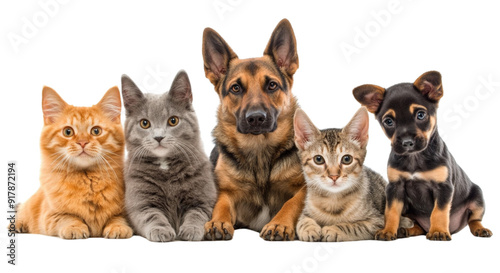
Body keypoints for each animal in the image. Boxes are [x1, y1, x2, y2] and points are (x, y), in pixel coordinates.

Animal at [14, 85, 133, 238]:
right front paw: (74, 227)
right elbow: (68, 217)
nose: (82, 142)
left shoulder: (125, 212)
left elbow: (117, 218)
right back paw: (17, 225)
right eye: (68, 132)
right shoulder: (51, 215)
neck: (87, 180)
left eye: (96, 131)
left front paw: (118, 227)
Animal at [122, 71, 217, 241]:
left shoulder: (204, 199)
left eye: (173, 121)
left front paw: (191, 229)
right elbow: (151, 215)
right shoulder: (140, 202)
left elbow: (197, 213)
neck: (164, 164)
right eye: (144, 123)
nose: (158, 137)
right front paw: (161, 230)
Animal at [202, 19, 304, 240]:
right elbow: (221, 204)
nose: (256, 118)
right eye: (236, 88)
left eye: (272, 85)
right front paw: (218, 222)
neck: (259, 151)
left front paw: (279, 224)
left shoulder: (305, 188)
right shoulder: (226, 192)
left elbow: (292, 202)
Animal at [294, 107, 412, 241]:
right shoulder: (305, 212)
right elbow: (301, 221)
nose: (334, 176)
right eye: (318, 159)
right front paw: (309, 228)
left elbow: (354, 226)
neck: (333, 200)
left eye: (347, 159)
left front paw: (334, 229)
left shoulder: (377, 221)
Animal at [352, 71, 492, 239]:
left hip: (477, 198)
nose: (407, 142)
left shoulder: (443, 188)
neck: (415, 158)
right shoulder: (395, 188)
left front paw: (438, 230)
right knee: (417, 225)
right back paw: (406, 230)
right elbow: (391, 212)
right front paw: (388, 230)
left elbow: (439, 212)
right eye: (388, 121)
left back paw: (480, 229)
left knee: (474, 219)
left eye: (420, 115)